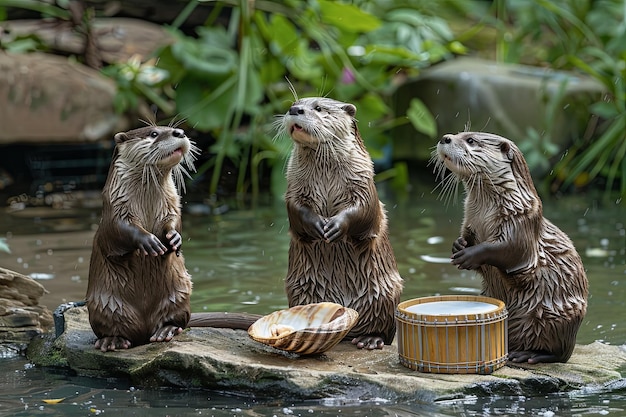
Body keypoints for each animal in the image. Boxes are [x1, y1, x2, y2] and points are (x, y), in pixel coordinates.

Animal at [276, 96, 402, 350]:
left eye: (318, 108)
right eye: (295, 103)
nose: (295, 110)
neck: (326, 175)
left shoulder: (364, 181)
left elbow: (363, 209)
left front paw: (335, 226)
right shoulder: (293, 186)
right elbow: (296, 209)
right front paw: (316, 225)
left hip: (385, 292)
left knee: (384, 327)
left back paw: (370, 339)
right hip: (300, 288)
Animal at [434, 132, 584, 362]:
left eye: (470, 140)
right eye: (458, 134)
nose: (445, 138)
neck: (484, 217)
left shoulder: (522, 222)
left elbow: (507, 251)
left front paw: (469, 255)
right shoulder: (469, 223)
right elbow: (467, 239)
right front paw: (458, 245)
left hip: (558, 318)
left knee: (560, 354)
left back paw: (528, 354)